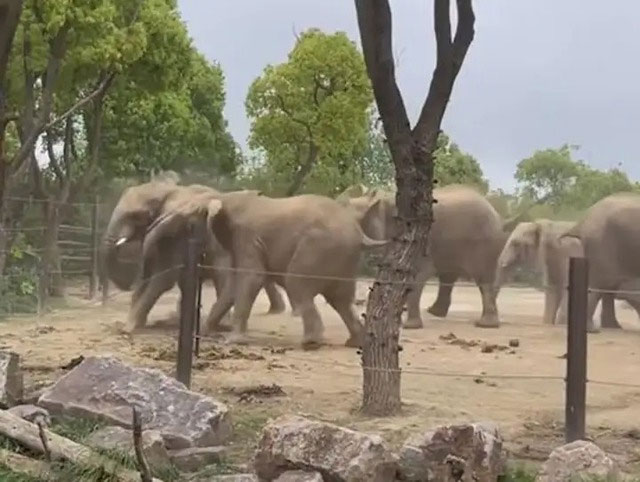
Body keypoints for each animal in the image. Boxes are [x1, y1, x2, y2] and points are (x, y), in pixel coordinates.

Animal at [142, 191, 389, 349]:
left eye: (187, 214)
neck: (226, 198)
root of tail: (360, 234)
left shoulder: (246, 236)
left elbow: (251, 278)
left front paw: (232, 341)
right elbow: (233, 285)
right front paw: (207, 331)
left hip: (319, 248)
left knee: (297, 285)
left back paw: (310, 342)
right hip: (342, 258)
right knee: (341, 300)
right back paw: (354, 343)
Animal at [338, 184, 511, 329]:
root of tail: (498, 216)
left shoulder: (416, 239)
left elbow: (417, 275)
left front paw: (409, 326)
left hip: (483, 244)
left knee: (483, 280)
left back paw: (485, 325)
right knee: (449, 276)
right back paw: (435, 312)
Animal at [562, 192, 640, 332]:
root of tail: (582, 221)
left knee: (607, 287)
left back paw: (614, 327)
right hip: (600, 243)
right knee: (598, 285)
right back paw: (592, 330)